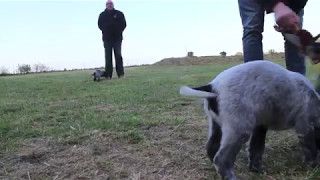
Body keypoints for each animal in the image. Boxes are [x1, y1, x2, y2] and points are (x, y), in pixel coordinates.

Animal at [179, 60, 320, 180]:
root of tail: (212, 86)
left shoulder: (260, 126)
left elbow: (256, 148)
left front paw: (256, 169)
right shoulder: (305, 126)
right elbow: (310, 147)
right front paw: (314, 165)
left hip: (216, 124)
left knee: (211, 147)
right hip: (239, 129)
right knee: (221, 158)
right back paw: (230, 176)